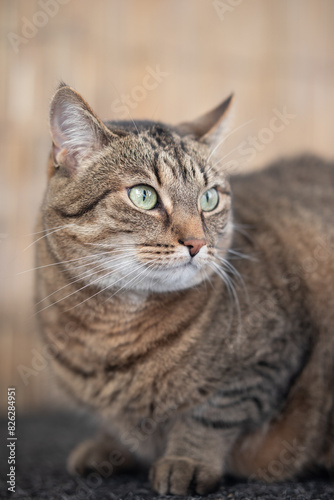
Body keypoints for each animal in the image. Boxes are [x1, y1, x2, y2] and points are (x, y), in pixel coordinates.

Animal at [34, 84, 334, 494]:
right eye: (143, 195)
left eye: (210, 198)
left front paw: (186, 461)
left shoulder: (268, 360)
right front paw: (108, 447)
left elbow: (212, 415)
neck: (111, 328)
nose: (197, 242)